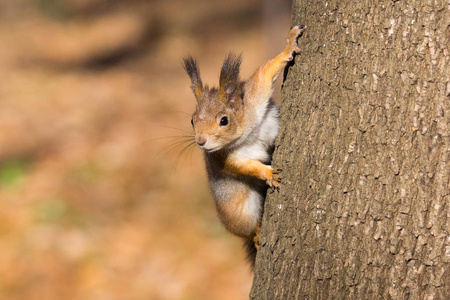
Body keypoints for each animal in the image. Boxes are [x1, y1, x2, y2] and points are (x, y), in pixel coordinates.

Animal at [183, 25, 306, 268]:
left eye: (224, 120)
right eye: (192, 121)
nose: (201, 142)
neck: (245, 133)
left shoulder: (254, 98)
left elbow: (265, 73)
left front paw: (289, 44)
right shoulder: (223, 157)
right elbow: (244, 167)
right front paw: (268, 173)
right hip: (239, 214)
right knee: (247, 230)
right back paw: (256, 235)